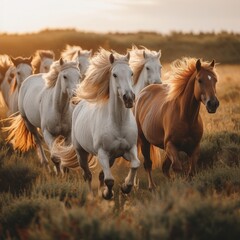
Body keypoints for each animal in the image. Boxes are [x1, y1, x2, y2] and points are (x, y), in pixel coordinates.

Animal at [51, 47, 140, 200]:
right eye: (115, 75)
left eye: (131, 73)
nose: (129, 98)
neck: (119, 124)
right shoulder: (103, 153)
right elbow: (109, 180)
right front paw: (107, 194)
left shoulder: (129, 149)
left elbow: (135, 165)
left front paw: (126, 187)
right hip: (81, 152)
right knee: (87, 175)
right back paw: (92, 196)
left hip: (111, 157)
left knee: (100, 175)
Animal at [135, 57, 219, 189]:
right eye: (200, 80)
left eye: (215, 80)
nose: (213, 104)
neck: (185, 117)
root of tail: (142, 93)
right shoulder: (171, 146)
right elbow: (177, 168)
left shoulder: (194, 148)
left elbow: (191, 171)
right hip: (144, 141)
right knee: (148, 164)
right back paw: (152, 186)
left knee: (164, 168)